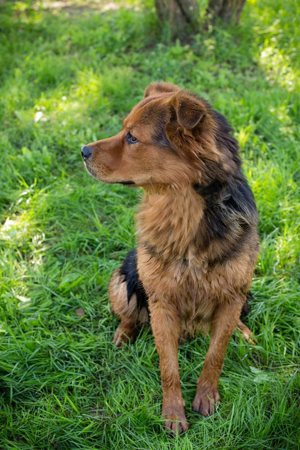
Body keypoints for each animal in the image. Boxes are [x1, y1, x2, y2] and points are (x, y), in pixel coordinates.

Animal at [81, 82, 258, 434]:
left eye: (132, 138)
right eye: (123, 130)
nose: (82, 151)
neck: (183, 209)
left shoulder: (232, 295)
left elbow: (215, 354)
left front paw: (206, 396)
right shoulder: (161, 303)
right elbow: (168, 367)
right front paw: (173, 414)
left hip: (244, 292)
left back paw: (243, 331)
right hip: (123, 278)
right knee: (129, 312)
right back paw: (123, 334)